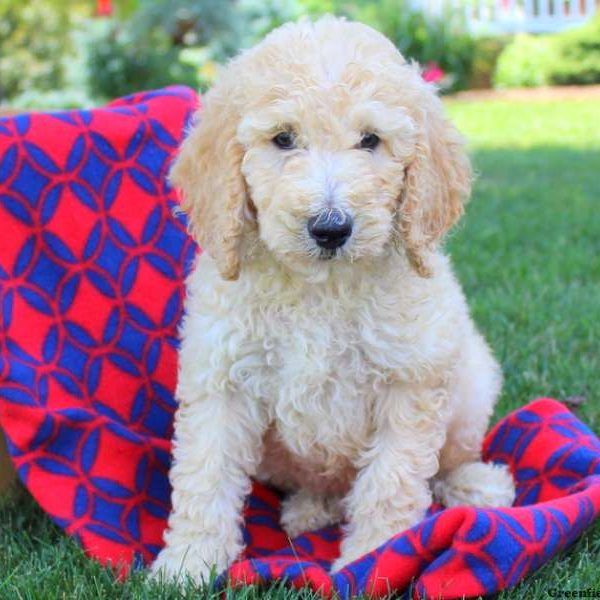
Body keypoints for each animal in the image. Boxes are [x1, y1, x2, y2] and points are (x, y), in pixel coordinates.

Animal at [151, 17, 516, 580]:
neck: (319, 288)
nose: (330, 228)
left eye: (370, 141)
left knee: (448, 460)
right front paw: (190, 559)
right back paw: (309, 509)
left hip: (472, 383)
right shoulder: (222, 375)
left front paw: (378, 555)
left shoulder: (408, 380)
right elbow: (204, 472)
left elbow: (392, 480)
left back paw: (476, 486)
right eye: (283, 138)